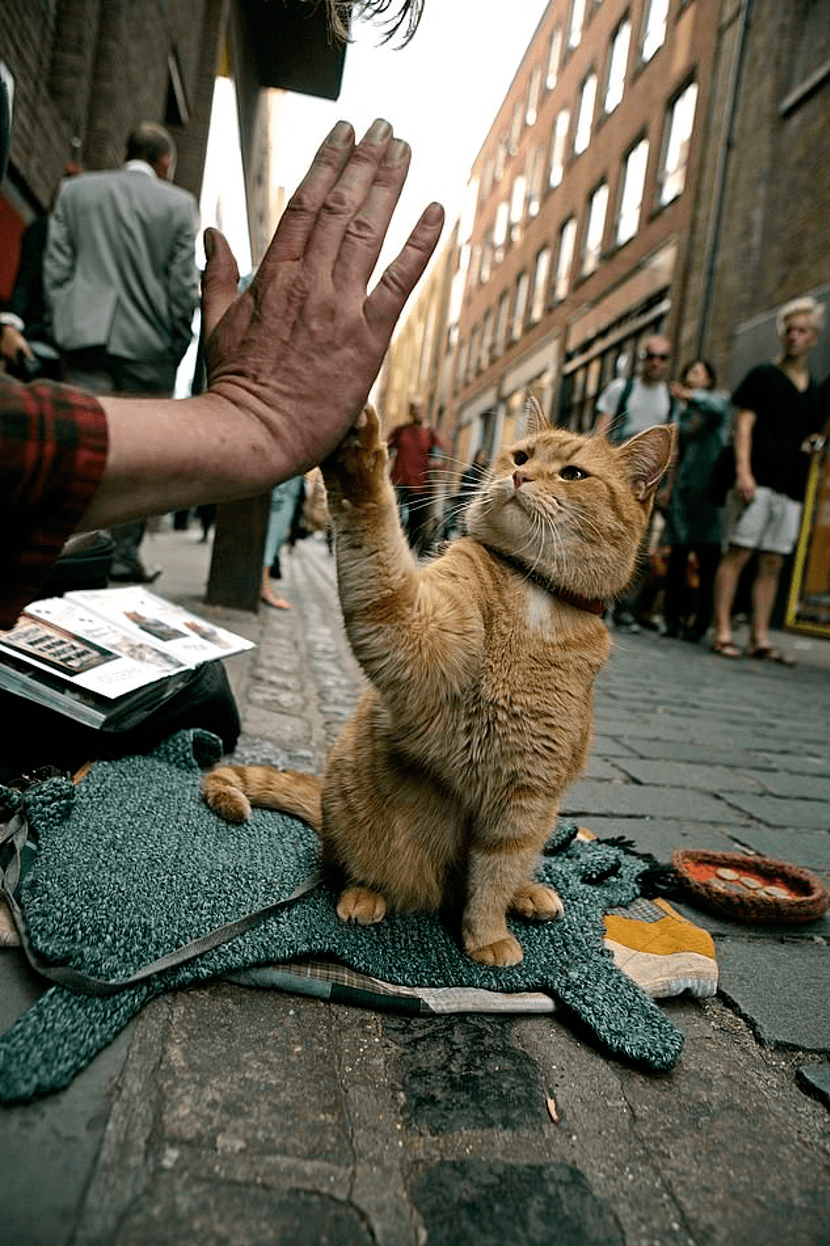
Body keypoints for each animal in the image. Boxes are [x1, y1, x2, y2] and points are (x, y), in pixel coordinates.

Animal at [201, 403, 672, 966]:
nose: (520, 477)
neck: (535, 594)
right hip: (357, 818)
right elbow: (375, 539)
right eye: (521, 457)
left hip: (541, 819)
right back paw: (364, 895)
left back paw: (528, 894)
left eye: (573, 474)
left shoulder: (525, 799)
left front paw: (486, 933)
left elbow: (493, 876)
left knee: (512, 873)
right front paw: (360, 459)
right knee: (349, 866)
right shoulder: (414, 634)